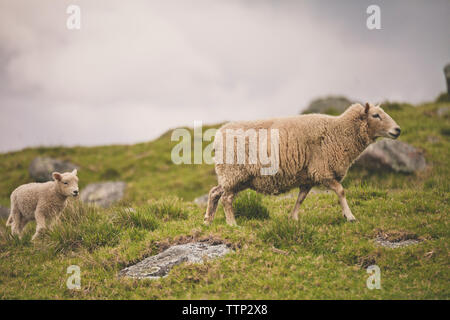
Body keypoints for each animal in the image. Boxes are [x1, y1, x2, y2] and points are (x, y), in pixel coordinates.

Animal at [204, 102, 400, 225]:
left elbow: (300, 199)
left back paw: (208, 220)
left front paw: (293, 218)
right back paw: (232, 224)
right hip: (234, 173)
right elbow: (341, 191)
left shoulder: (308, 177)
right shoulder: (322, 171)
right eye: (376, 115)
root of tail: (218, 136)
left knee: (214, 192)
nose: (397, 130)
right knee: (226, 199)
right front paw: (350, 216)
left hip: (235, 177)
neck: (339, 133)